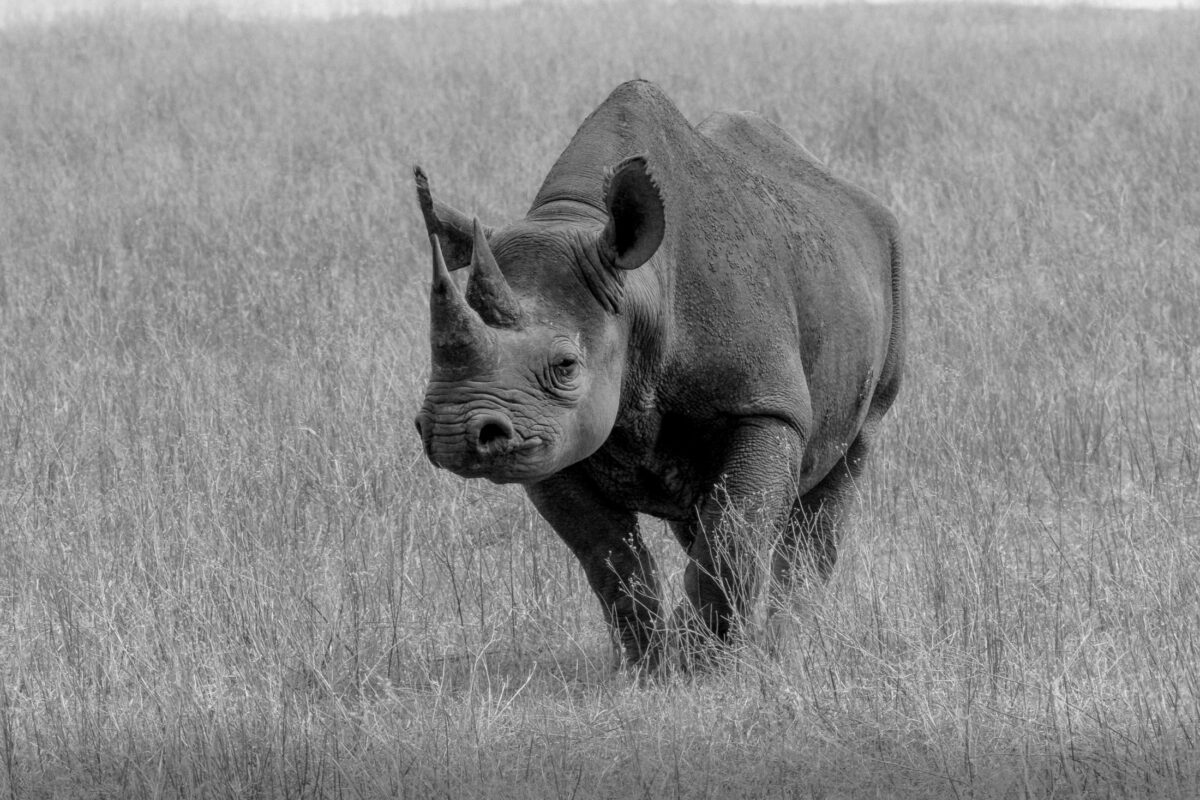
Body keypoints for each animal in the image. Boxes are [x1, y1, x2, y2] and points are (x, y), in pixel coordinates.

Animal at [413, 80, 905, 670]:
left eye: (565, 366)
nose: (452, 434)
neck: (636, 288)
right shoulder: (549, 435)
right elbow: (608, 556)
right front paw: (647, 667)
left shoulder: (765, 406)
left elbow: (733, 534)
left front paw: (702, 667)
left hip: (890, 266)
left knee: (845, 461)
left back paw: (784, 645)